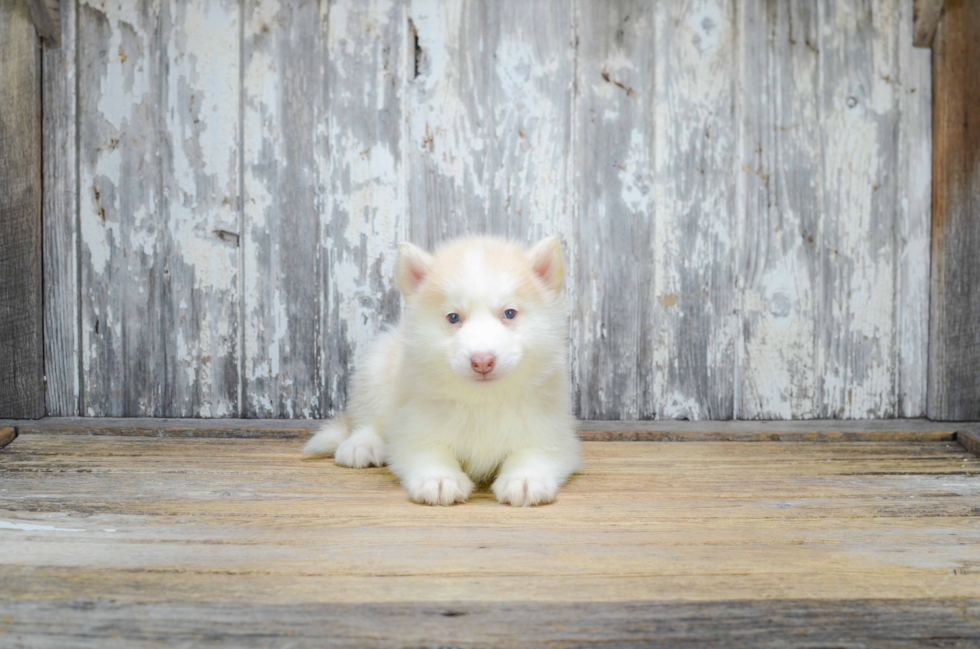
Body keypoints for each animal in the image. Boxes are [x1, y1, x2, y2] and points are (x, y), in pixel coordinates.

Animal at [304, 237, 580, 506]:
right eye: (453, 317)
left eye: (509, 313)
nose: (482, 361)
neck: (483, 399)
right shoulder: (416, 424)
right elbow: (429, 451)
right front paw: (438, 478)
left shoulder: (549, 429)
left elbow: (534, 452)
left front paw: (525, 478)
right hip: (375, 367)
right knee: (366, 418)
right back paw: (362, 445)